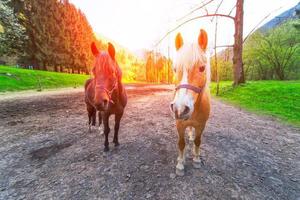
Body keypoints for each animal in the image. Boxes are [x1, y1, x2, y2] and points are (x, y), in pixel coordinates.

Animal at [170, 28, 210, 176]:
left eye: (202, 68)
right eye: (175, 69)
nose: (180, 108)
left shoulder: (201, 125)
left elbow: (198, 141)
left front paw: (197, 159)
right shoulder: (179, 124)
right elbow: (181, 143)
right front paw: (180, 164)